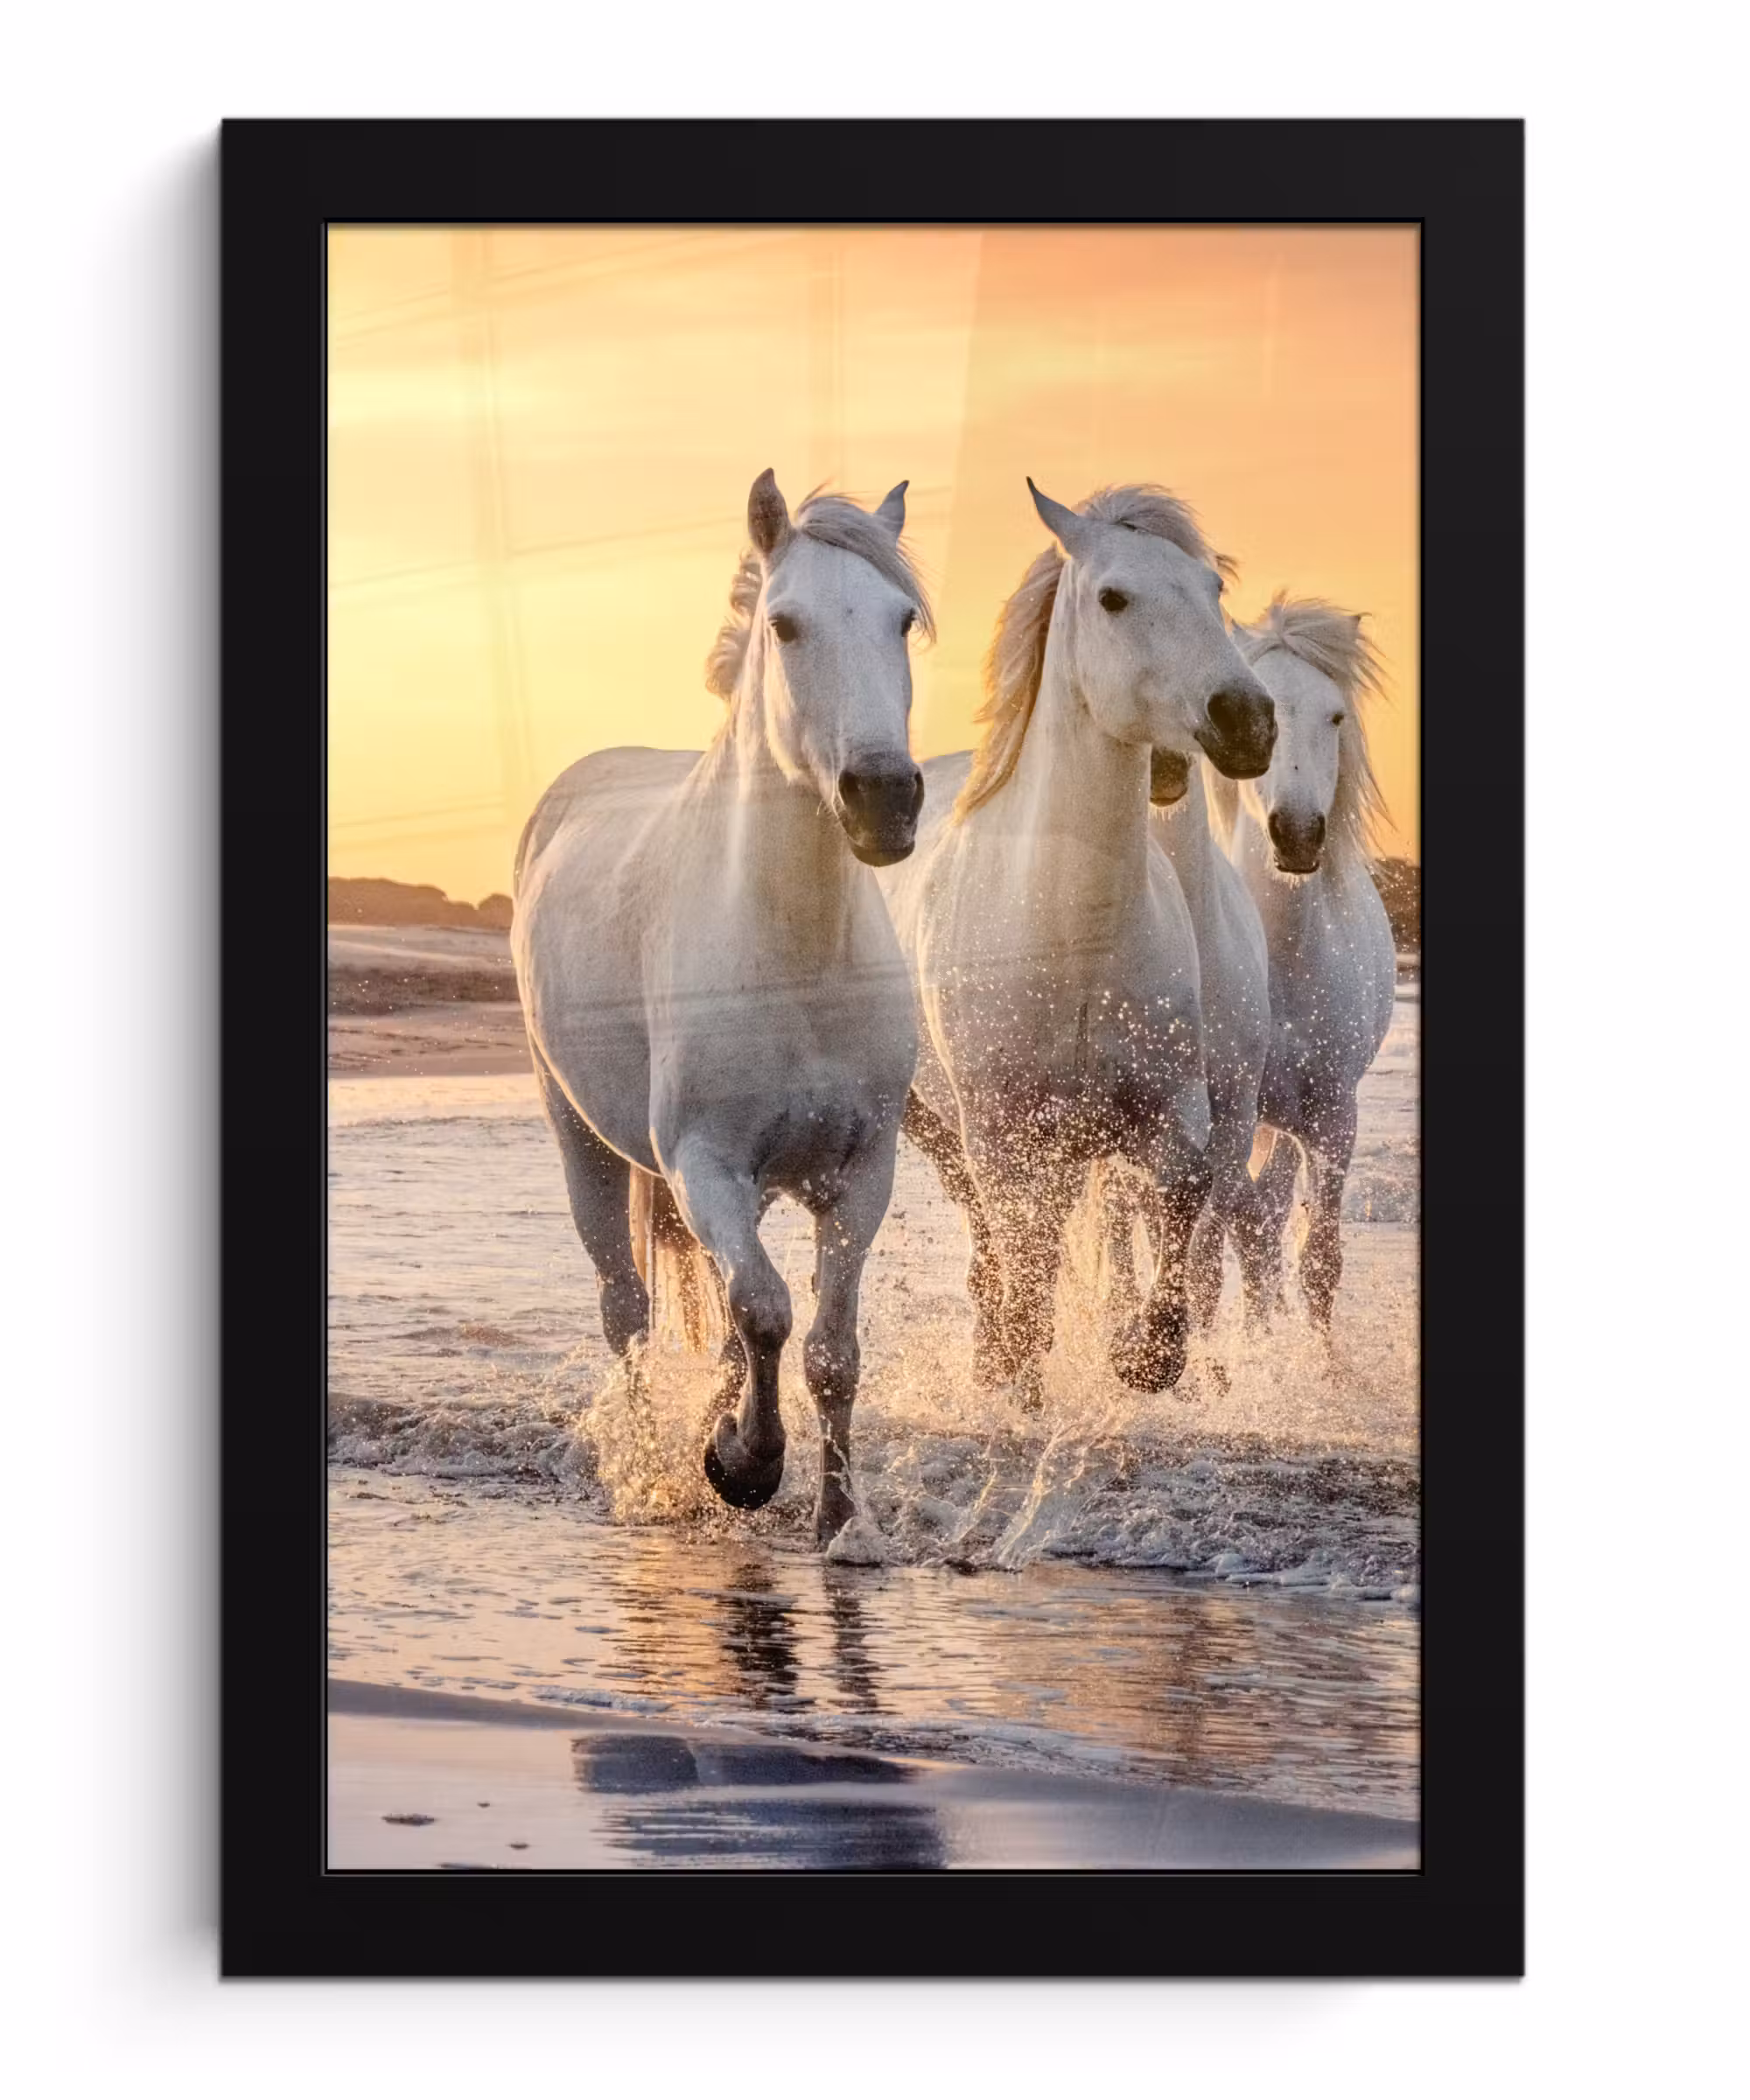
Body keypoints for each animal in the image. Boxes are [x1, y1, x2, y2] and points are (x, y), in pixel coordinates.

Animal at [513, 472, 933, 1546]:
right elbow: (767, 1312)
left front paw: (837, 1519)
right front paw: (742, 1464)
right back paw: (652, 1468)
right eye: (784, 624)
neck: (795, 957)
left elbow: (826, 1347)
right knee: (626, 1311)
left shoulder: (861, 1174)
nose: (883, 797)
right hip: (582, 1140)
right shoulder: (703, 1163)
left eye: (902, 620)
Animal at [877, 480, 1277, 1402]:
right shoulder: (999, 1130)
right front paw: (1019, 1366)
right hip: (938, 1123)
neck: (1072, 937)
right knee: (996, 1235)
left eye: (1213, 590)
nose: (1247, 720)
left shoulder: (1171, 1109)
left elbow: (1184, 1194)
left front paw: (1145, 1355)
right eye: (1113, 598)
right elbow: (1022, 1250)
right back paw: (998, 1358)